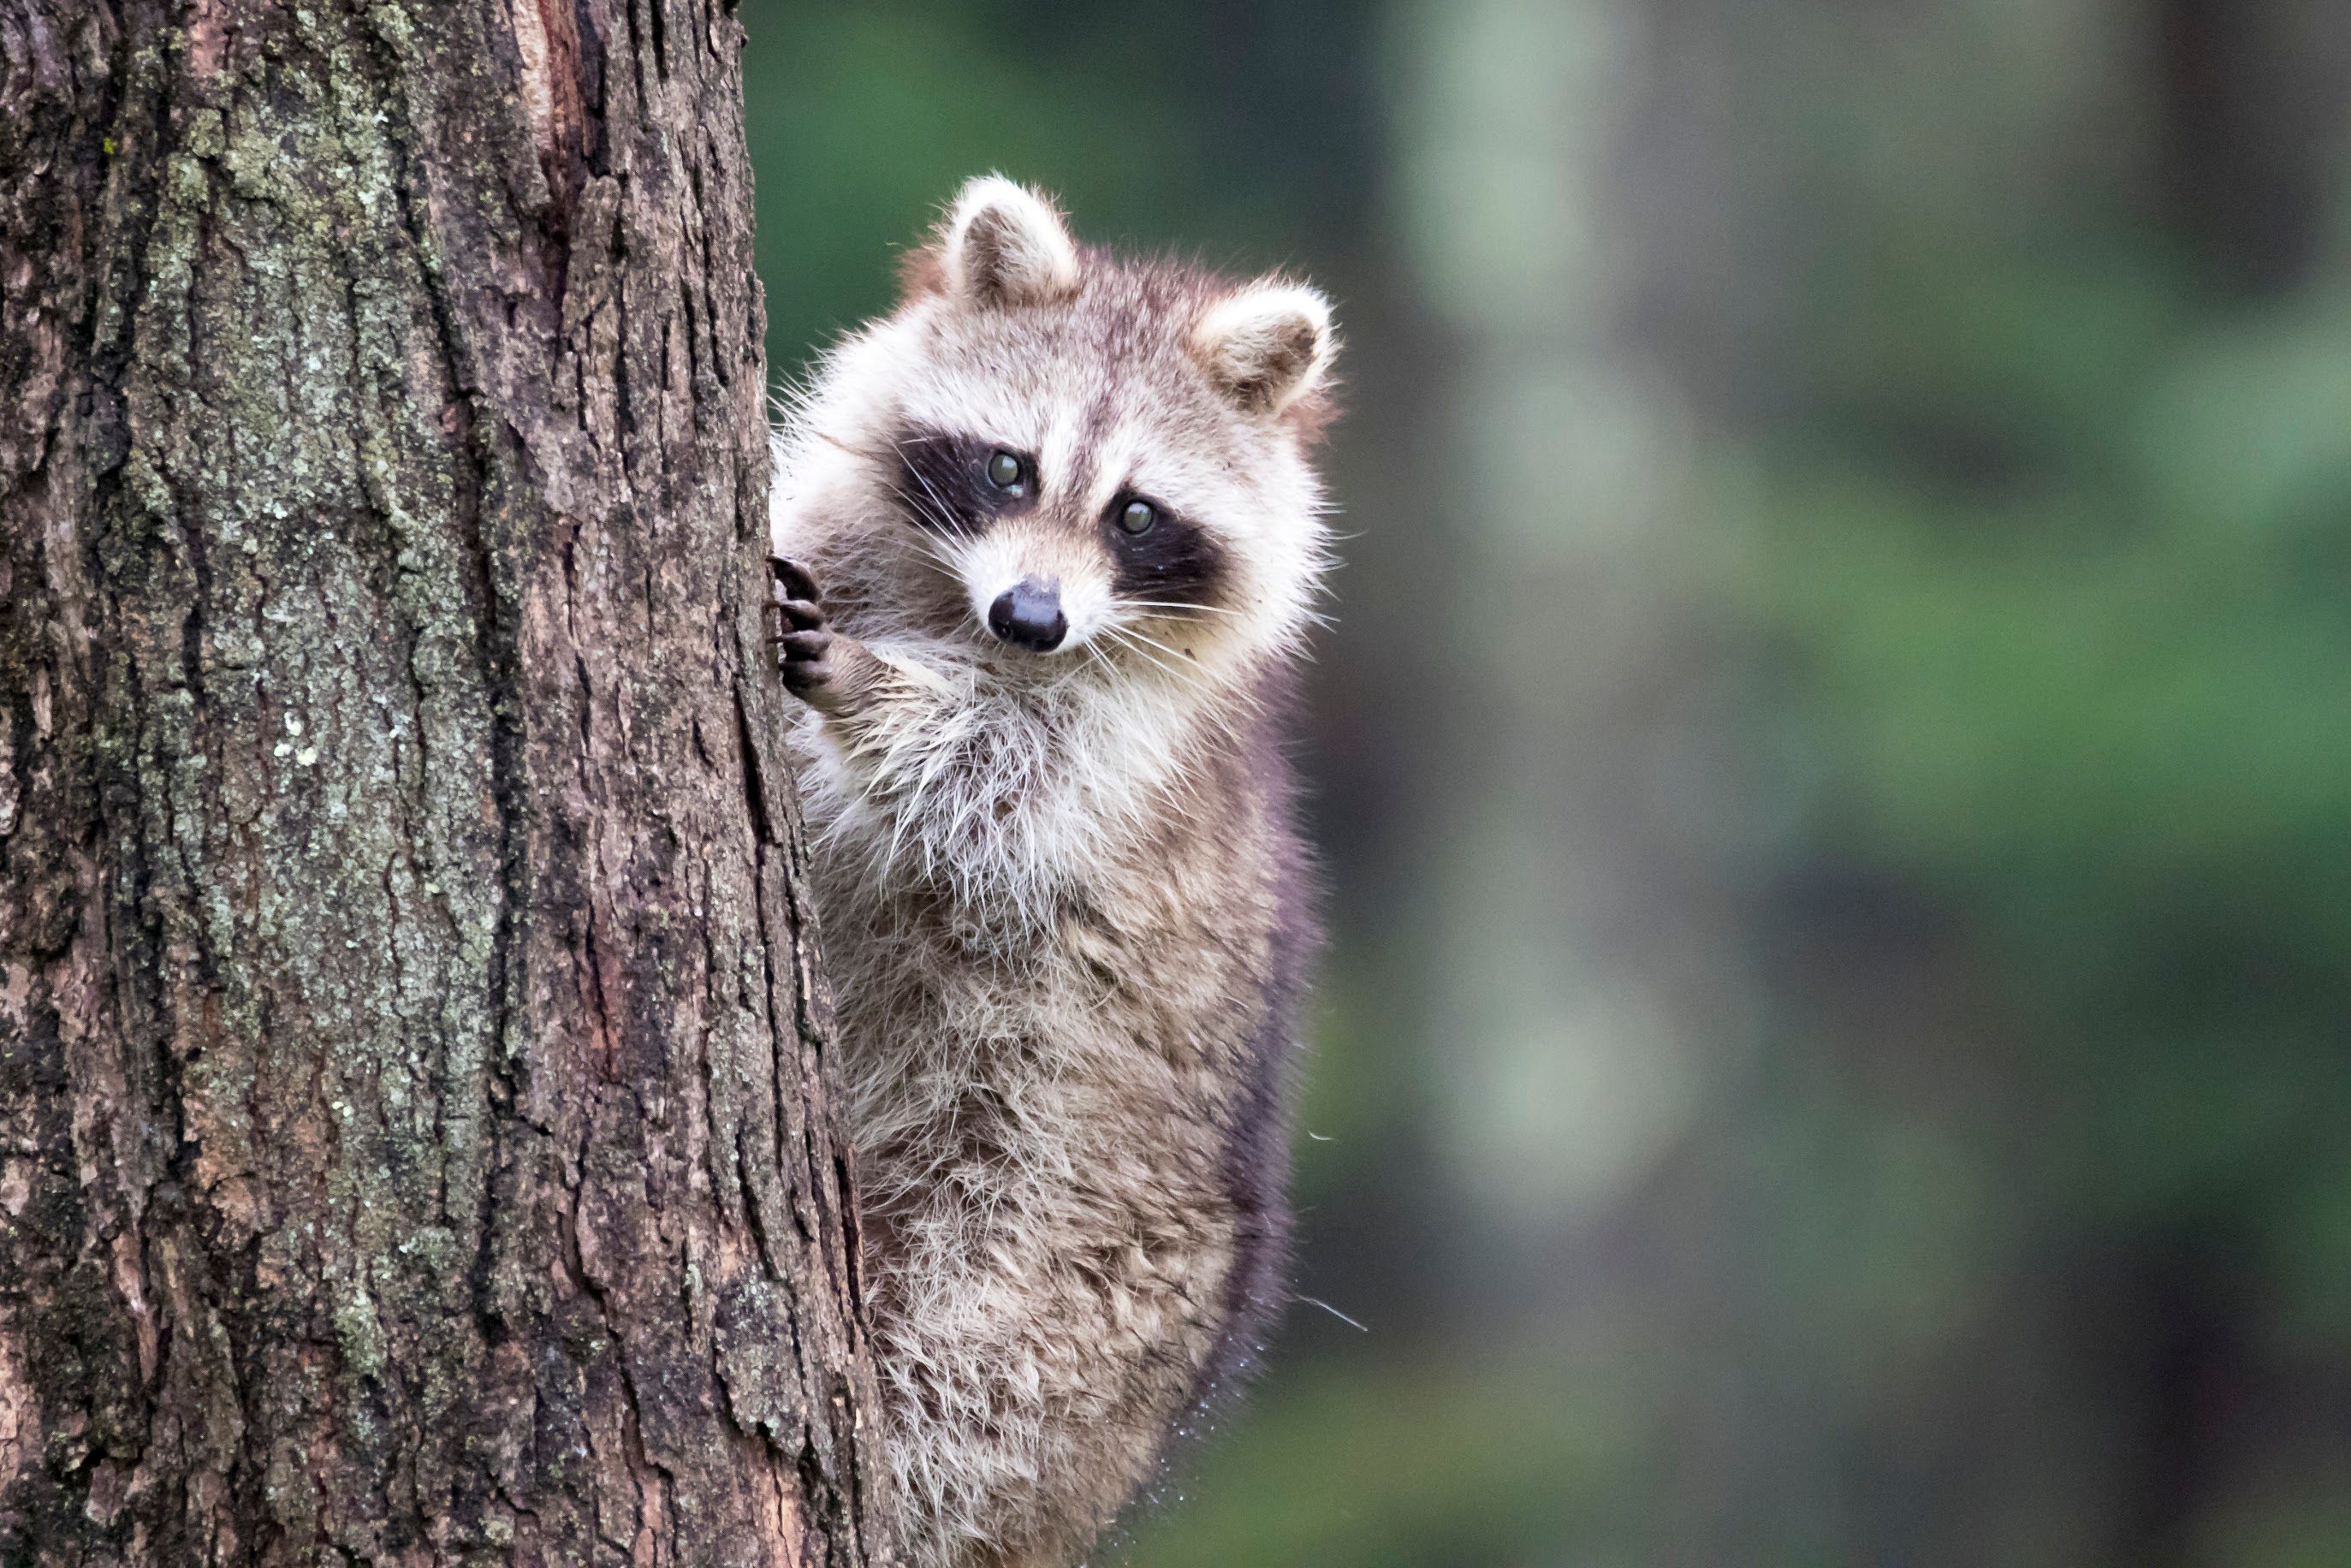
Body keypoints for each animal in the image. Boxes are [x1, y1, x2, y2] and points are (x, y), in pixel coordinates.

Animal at [767, 176, 1337, 1568]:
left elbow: (993, 787)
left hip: (1046, 1277)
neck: (952, 608)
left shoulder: (1127, 752)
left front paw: (877, 696)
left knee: (956, 1395)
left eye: (1135, 513)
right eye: (1007, 466)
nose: (1030, 618)